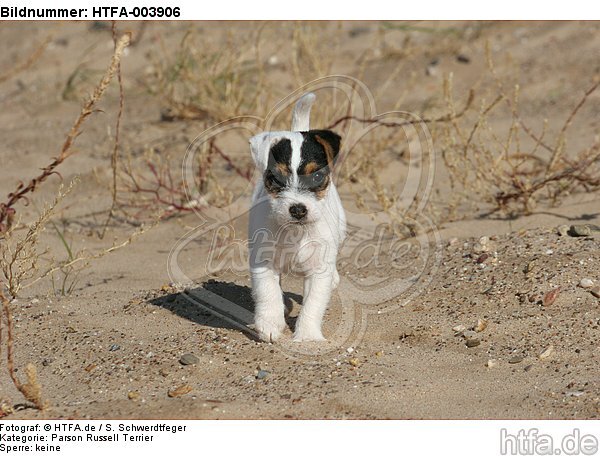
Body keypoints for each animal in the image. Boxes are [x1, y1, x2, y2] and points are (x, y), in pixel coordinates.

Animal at [246, 93, 344, 342]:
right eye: (275, 178)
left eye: (317, 176)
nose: (298, 209)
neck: (296, 232)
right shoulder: (263, 260)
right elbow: (268, 292)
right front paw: (269, 324)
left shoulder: (318, 270)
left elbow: (313, 304)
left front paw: (307, 336)